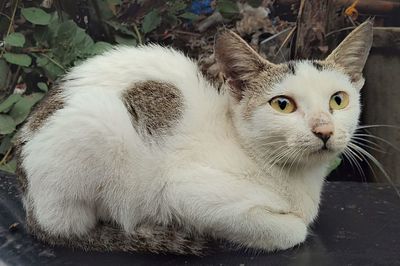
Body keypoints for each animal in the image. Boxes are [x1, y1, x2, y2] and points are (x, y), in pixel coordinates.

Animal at [14, 19, 374, 255]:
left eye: (338, 100)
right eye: (282, 104)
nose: (324, 130)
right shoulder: (179, 191)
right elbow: (292, 230)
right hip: (96, 128)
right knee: (70, 227)